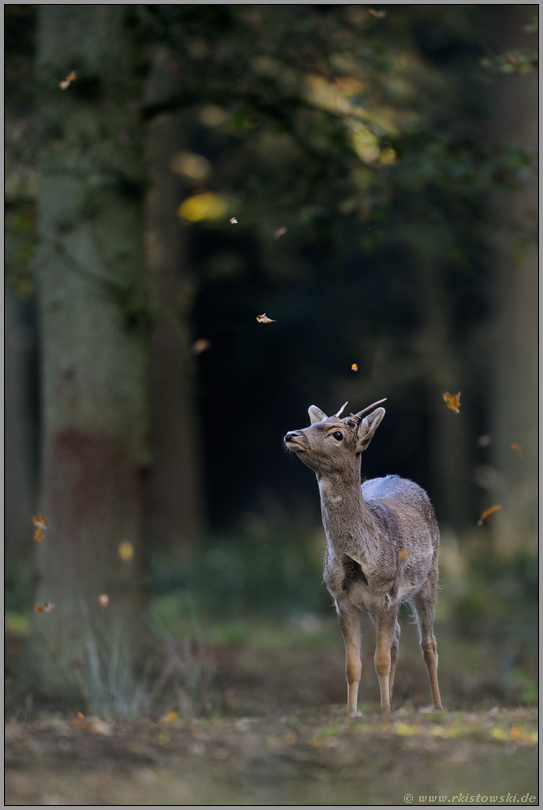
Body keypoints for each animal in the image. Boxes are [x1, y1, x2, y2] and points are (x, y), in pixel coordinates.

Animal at [282, 400, 444, 712]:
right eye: (312, 423)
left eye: (337, 434)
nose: (291, 434)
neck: (356, 563)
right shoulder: (343, 602)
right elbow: (352, 666)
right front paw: (353, 713)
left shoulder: (388, 594)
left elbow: (380, 661)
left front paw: (384, 713)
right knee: (397, 638)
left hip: (430, 576)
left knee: (428, 643)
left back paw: (439, 708)